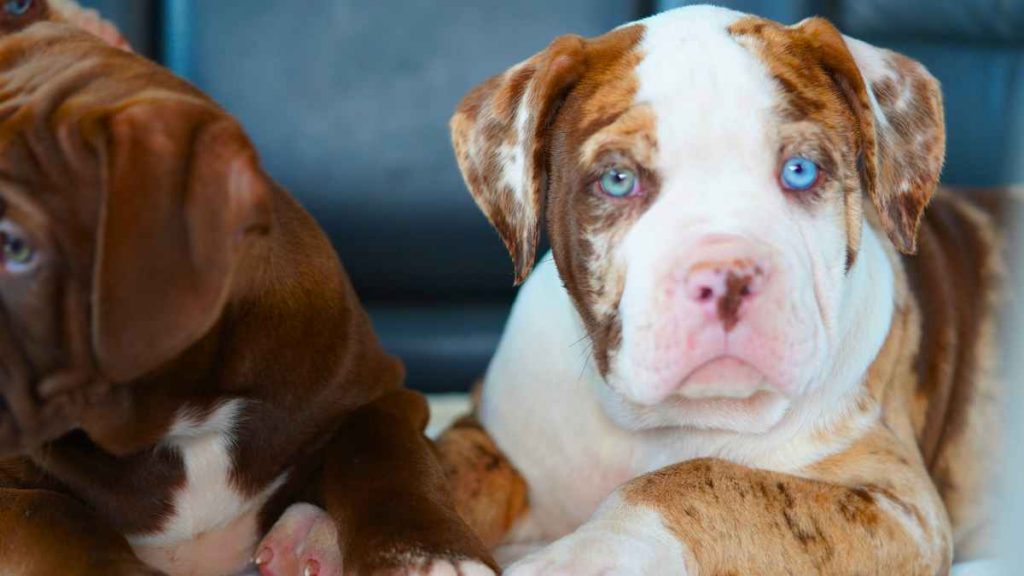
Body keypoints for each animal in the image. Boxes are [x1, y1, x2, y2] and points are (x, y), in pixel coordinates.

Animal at [0, 2, 491, 569]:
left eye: (15, 248)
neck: (182, 412)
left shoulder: (380, 392)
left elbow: (381, 446)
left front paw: (424, 555)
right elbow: (55, 515)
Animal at [438, 5, 1007, 573]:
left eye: (801, 171)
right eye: (618, 180)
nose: (727, 277)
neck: (664, 423)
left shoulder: (897, 507)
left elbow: (702, 480)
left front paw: (577, 556)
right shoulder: (486, 431)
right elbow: (453, 466)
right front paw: (433, 548)